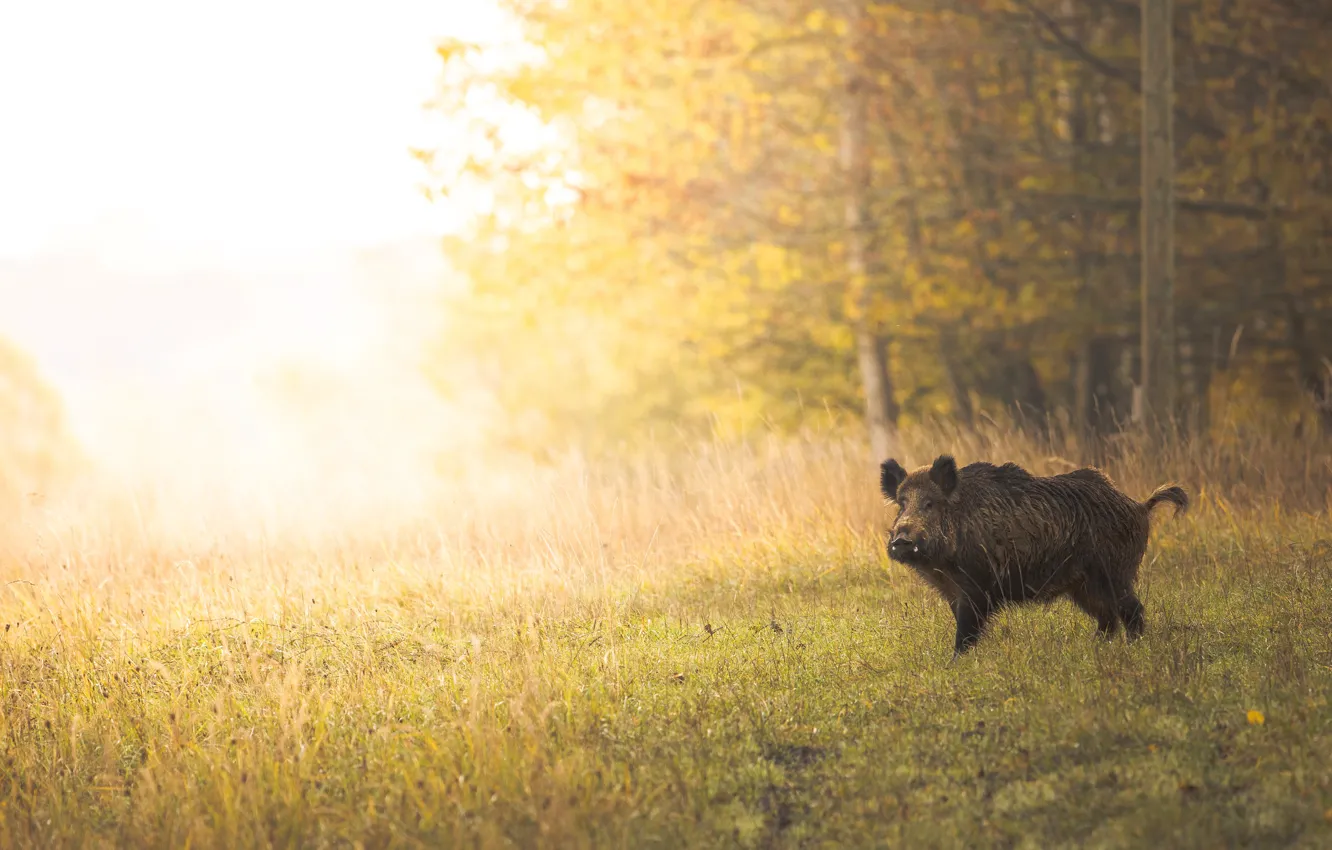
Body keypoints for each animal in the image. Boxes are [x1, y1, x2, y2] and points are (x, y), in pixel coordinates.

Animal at [879, 454, 1188, 657]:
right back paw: (1096, 648)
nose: (901, 540)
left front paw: (955, 663)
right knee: (1108, 617)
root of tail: (1139, 506)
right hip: (1083, 586)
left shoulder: (978, 588)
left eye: (930, 503)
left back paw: (1132, 648)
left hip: (1113, 572)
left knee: (1132, 611)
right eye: (901, 504)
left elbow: (966, 632)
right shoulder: (952, 591)